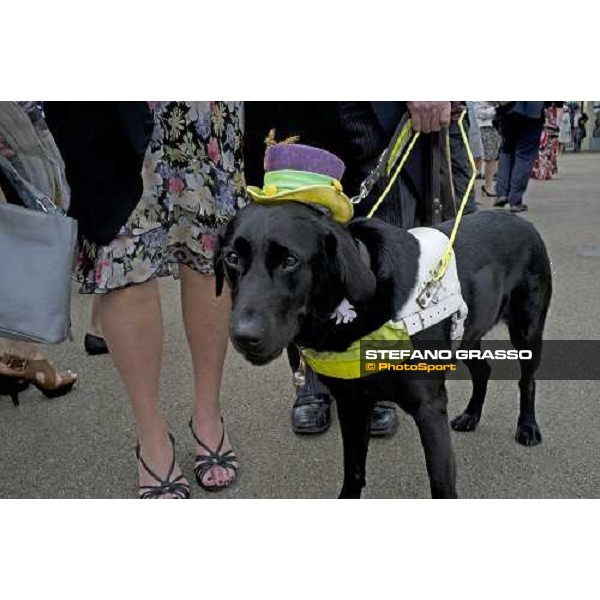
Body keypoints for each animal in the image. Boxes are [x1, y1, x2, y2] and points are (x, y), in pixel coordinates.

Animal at [217, 204, 552, 500]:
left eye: (290, 260)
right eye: (231, 258)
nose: (244, 337)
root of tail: (520, 221)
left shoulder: (429, 408)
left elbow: (441, 483)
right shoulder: (352, 404)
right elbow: (353, 470)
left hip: (527, 331)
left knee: (527, 381)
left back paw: (527, 427)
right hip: (469, 336)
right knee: (483, 370)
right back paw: (471, 416)